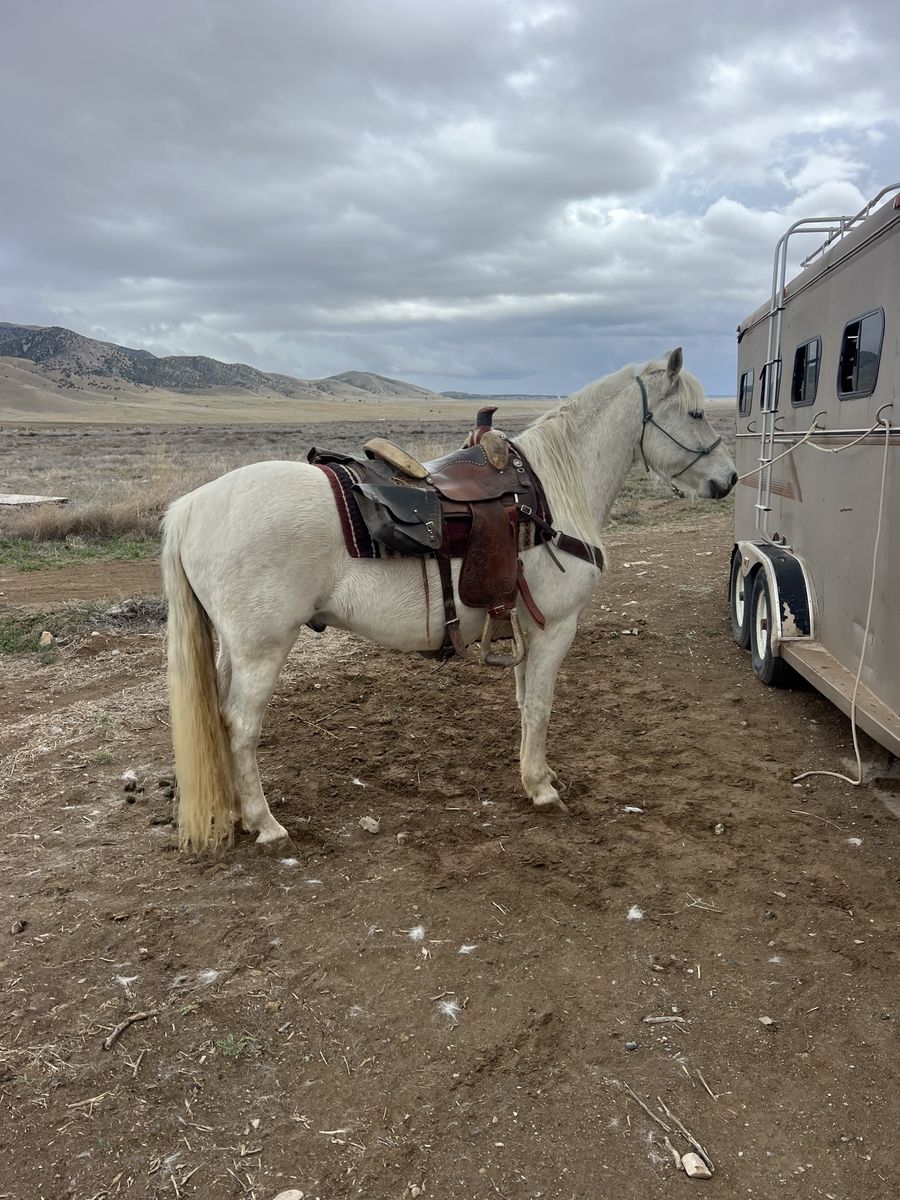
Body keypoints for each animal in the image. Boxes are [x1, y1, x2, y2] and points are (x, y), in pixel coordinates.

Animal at [162, 349, 736, 853]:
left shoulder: (525, 626)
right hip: (262, 649)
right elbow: (542, 706)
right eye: (695, 412)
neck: (551, 494)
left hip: (234, 650)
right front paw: (540, 787)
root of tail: (191, 506)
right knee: (241, 727)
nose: (727, 479)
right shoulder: (556, 627)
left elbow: (525, 703)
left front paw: (537, 772)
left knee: (220, 721)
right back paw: (265, 823)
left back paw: (238, 813)